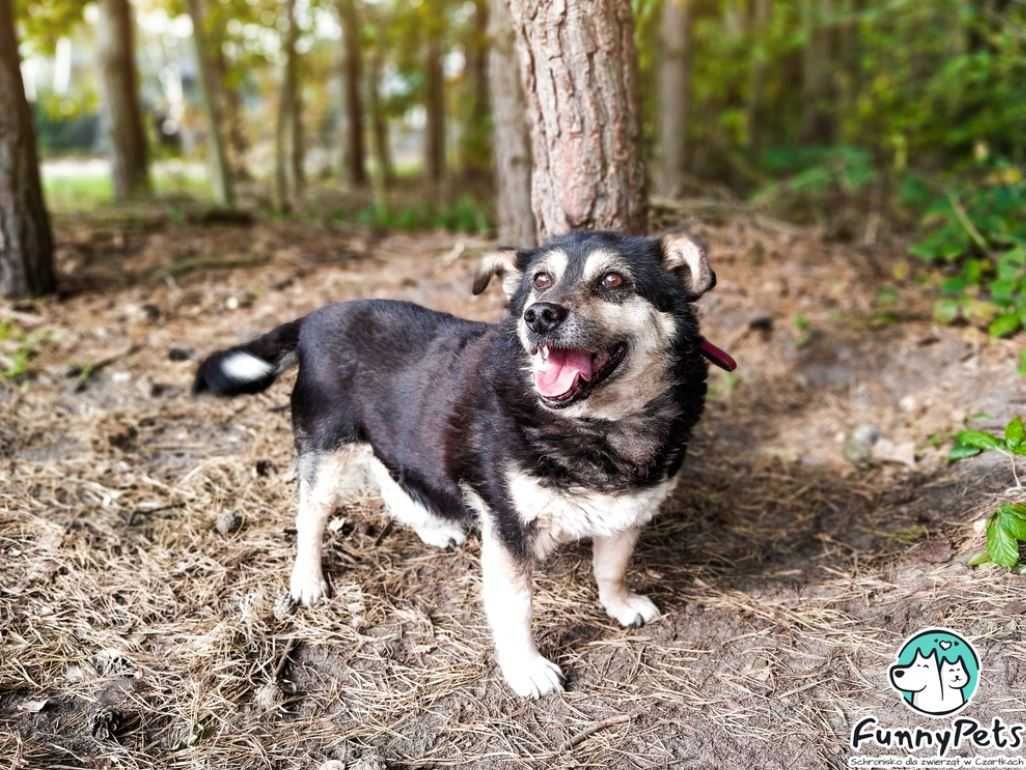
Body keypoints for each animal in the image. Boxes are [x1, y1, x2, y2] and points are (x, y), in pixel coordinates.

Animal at [195, 227, 718, 698]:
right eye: (541, 280)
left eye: (613, 280)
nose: (538, 315)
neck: (599, 426)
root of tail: (315, 316)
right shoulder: (508, 527)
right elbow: (516, 605)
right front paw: (526, 668)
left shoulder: (627, 513)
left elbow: (612, 568)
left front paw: (619, 603)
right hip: (326, 448)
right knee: (310, 516)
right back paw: (306, 578)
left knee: (393, 476)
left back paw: (432, 526)